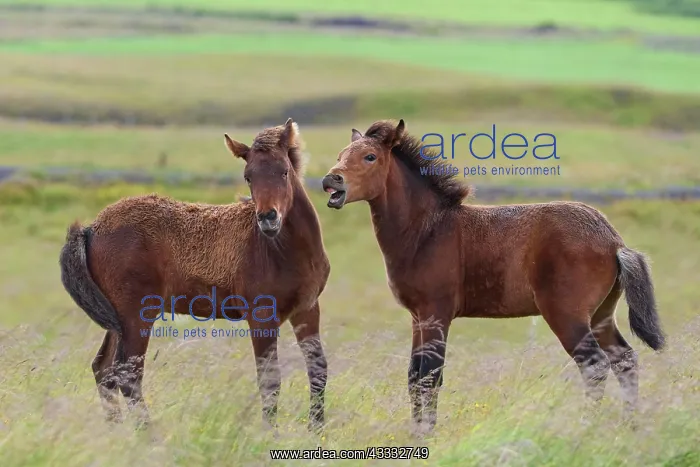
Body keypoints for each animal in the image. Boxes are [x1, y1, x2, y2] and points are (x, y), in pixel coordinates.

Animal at [60, 118, 331, 432]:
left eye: (284, 171)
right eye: (248, 177)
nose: (267, 218)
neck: (281, 250)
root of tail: (91, 229)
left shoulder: (308, 309)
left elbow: (318, 368)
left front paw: (316, 431)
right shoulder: (261, 315)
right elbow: (270, 379)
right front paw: (269, 435)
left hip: (117, 318)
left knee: (103, 369)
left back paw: (115, 432)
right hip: (136, 314)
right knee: (128, 373)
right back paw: (147, 435)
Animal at [321, 118, 665, 435]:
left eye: (370, 157)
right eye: (340, 154)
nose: (330, 180)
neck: (427, 231)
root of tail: (614, 241)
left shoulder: (436, 313)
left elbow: (430, 376)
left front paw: (427, 435)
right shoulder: (418, 316)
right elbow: (414, 376)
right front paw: (417, 432)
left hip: (567, 315)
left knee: (595, 364)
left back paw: (586, 428)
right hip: (601, 315)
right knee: (625, 359)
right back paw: (629, 425)